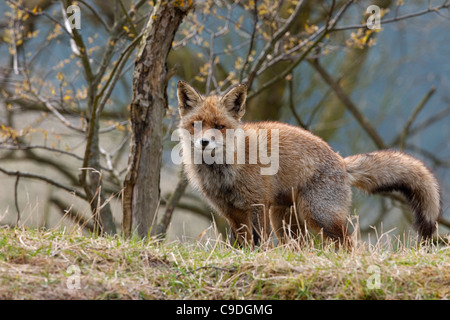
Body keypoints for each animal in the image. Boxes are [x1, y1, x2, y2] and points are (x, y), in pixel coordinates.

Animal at [177, 80, 442, 248]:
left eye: (220, 126)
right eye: (196, 125)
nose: (203, 142)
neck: (223, 174)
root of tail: (340, 160)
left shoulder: (257, 205)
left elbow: (259, 242)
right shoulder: (230, 213)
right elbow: (242, 244)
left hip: (317, 214)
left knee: (350, 243)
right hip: (285, 221)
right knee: (303, 246)